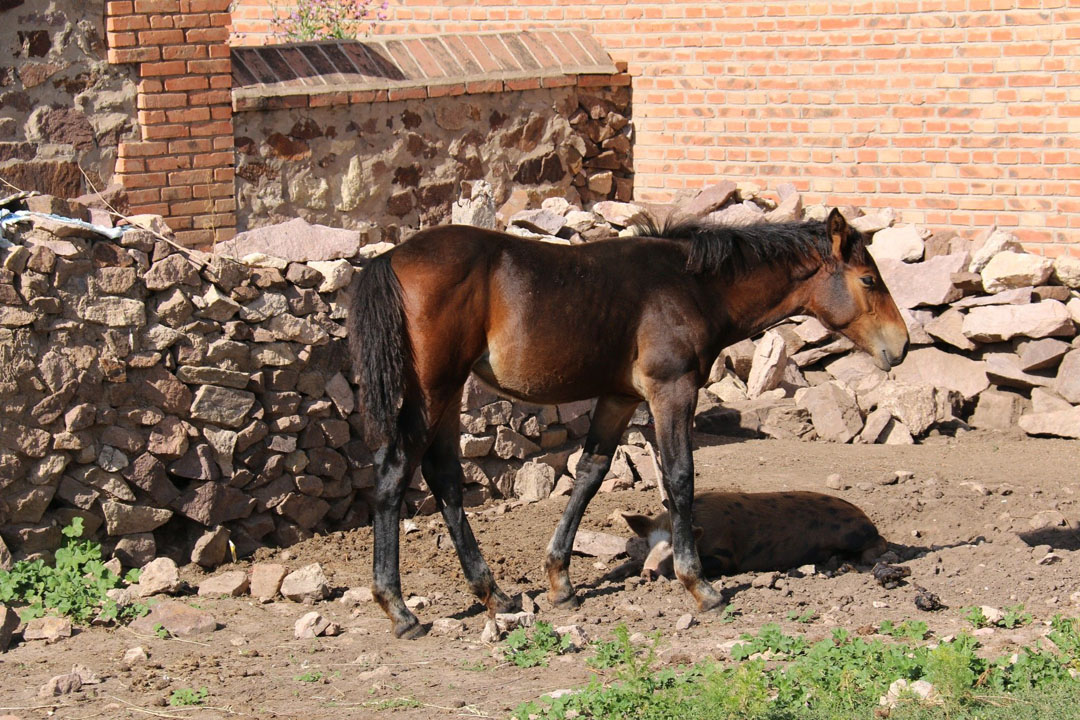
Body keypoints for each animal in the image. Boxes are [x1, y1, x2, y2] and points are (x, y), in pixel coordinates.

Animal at [349, 207, 907, 634]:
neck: (692, 286)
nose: (900, 347)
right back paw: (399, 610)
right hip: (432, 392)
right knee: (394, 476)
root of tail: (389, 258)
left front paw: (561, 583)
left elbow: (589, 476)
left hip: (446, 396)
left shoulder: (618, 398)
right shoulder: (671, 391)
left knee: (444, 479)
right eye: (868, 280)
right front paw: (699, 585)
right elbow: (679, 479)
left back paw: (495, 595)